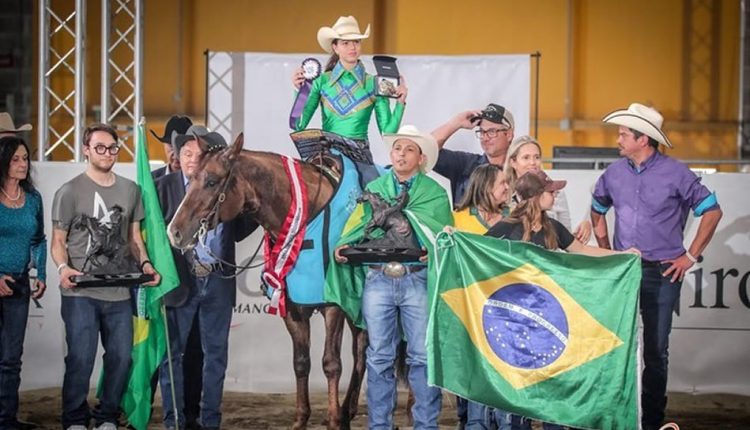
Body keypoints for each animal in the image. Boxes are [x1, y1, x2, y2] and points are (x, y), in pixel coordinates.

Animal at [170, 133, 370, 428]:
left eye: (212, 181)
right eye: (191, 176)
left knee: (362, 351)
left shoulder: (333, 306)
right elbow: (301, 362)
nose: (174, 231)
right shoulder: (292, 309)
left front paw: (333, 420)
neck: (308, 216)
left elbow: (331, 363)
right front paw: (301, 419)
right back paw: (349, 410)